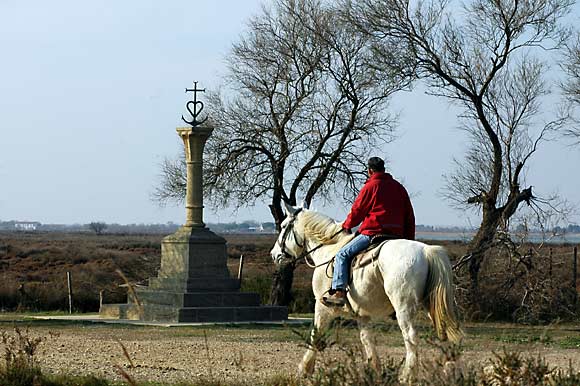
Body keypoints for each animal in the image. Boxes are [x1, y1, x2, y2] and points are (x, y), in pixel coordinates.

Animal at [268, 204, 462, 382]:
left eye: (284, 225)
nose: (274, 254)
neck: (329, 250)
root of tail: (426, 251)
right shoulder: (362, 314)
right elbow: (367, 340)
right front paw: (375, 371)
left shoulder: (322, 307)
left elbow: (316, 334)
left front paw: (304, 369)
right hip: (432, 306)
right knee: (444, 331)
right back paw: (450, 372)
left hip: (404, 308)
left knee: (411, 338)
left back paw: (407, 376)